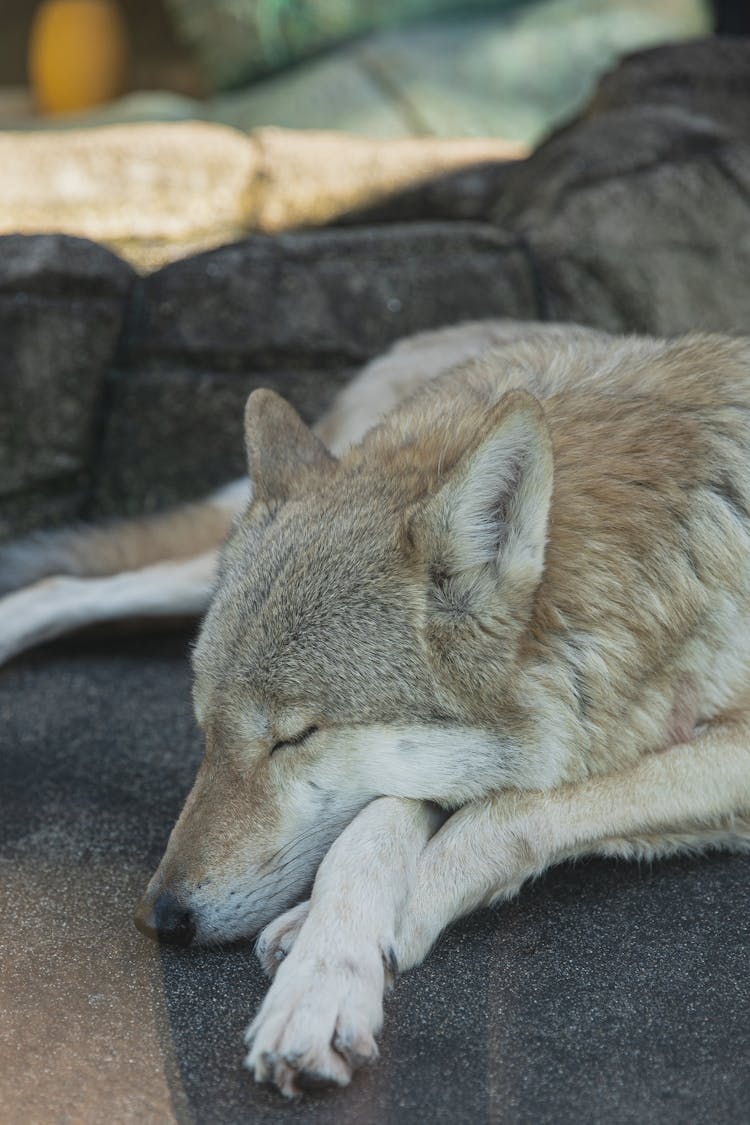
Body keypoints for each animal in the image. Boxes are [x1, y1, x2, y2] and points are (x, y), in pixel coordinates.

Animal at [1, 321, 750, 1093]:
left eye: (294, 737)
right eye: (205, 729)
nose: (162, 917)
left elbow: (509, 812)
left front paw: (327, 951)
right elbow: (381, 825)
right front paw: (324, 975)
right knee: (70, 582)